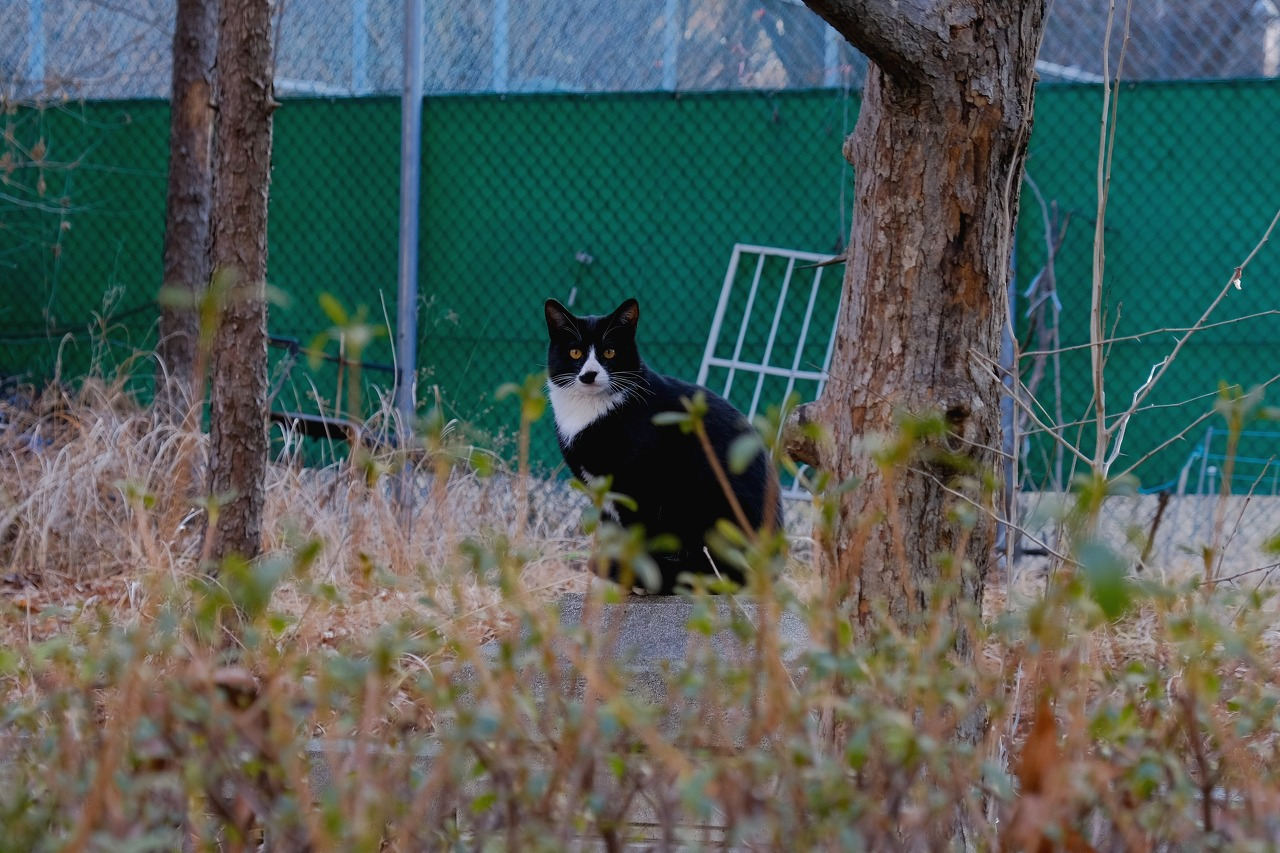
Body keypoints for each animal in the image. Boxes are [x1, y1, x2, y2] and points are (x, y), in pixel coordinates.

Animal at [544, 297, 783, 594]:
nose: (589, 374)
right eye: (575, 353)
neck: (589, 412)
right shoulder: (602, 493)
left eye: (609, 352)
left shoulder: (640, 487)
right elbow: (614, 537)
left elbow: (639, 536)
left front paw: (632, 579)